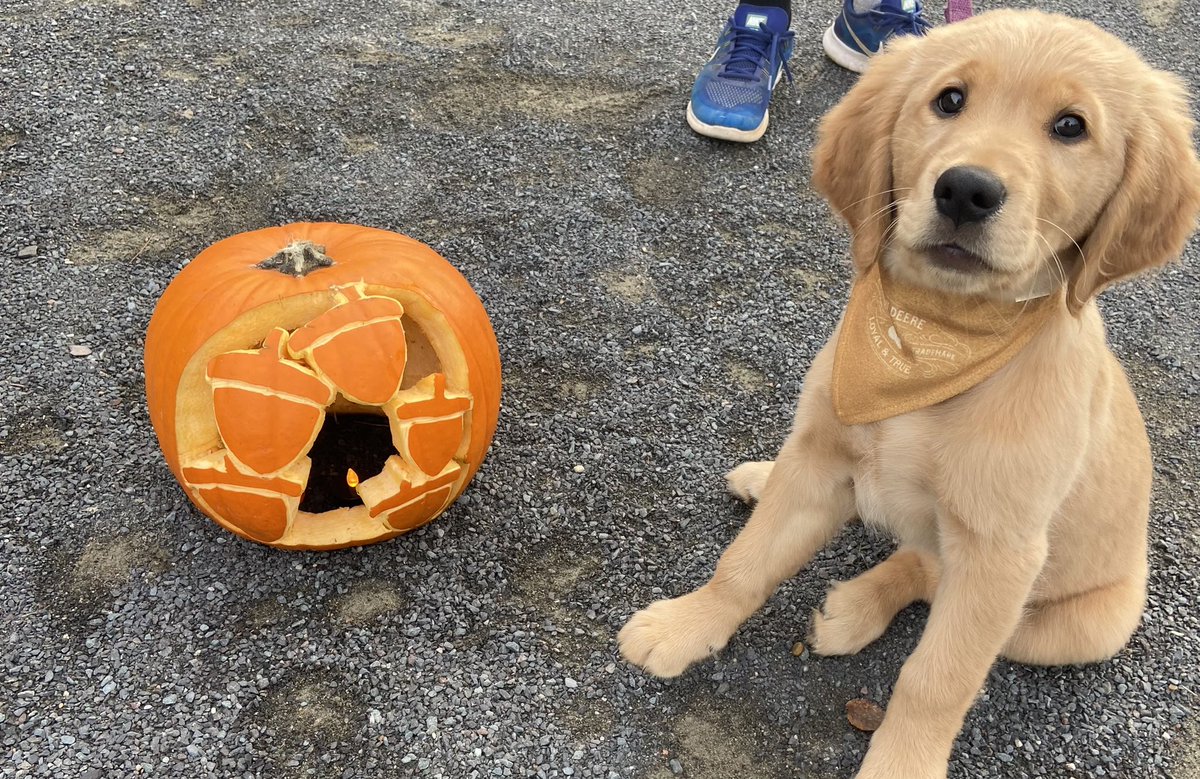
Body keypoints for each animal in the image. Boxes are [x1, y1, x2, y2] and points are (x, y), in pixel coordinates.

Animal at [619, 7, 1200, 777]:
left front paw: (901, 762)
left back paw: (859, 604)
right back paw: (775, 494)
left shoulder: (999, 552)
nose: (966, 190)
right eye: (949, 100)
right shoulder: (824, 450)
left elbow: (936, 678)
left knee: (930, 567)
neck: (935, 338)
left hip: (1078, 622)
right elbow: (746, 560)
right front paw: (687, 623)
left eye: (1071, 126)